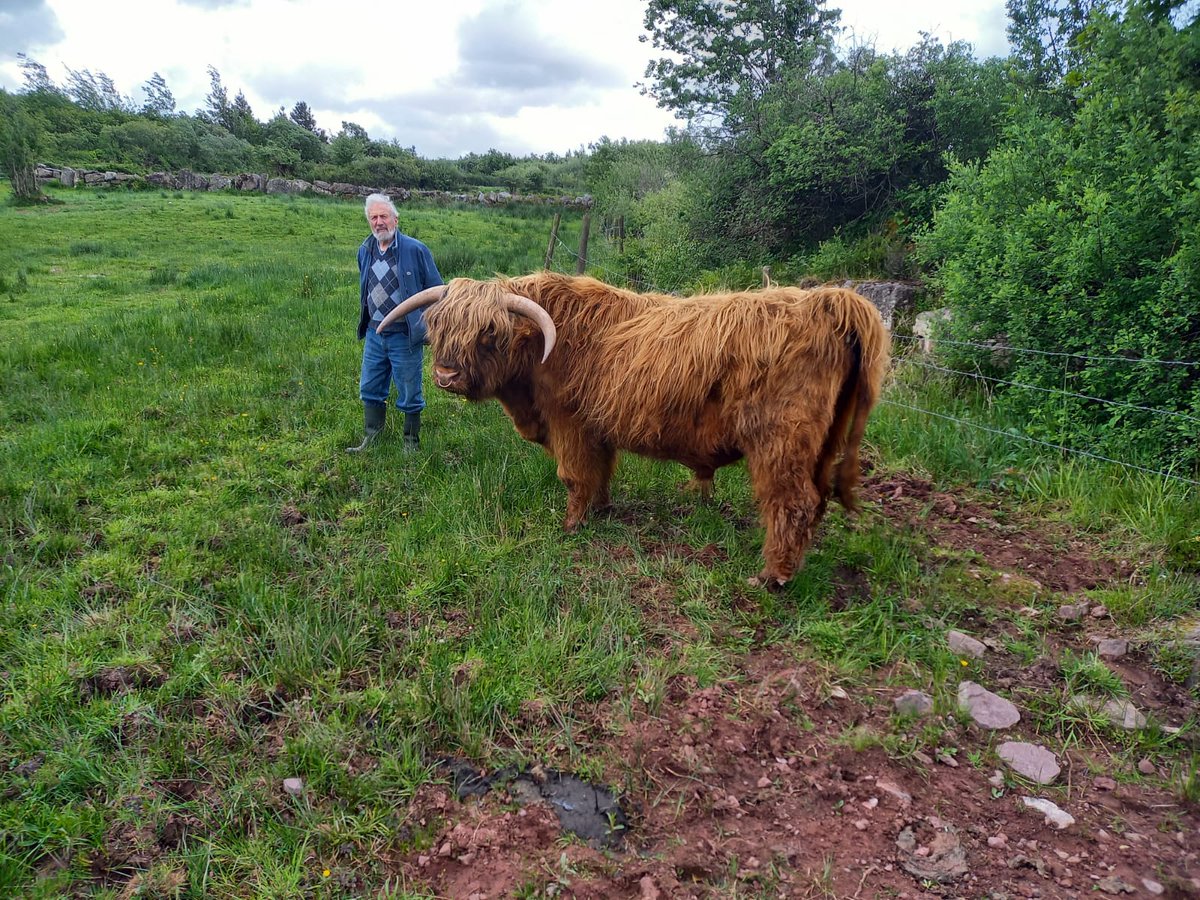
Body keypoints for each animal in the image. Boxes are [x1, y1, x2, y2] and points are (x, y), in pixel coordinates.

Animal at [381, 271, 892, 588]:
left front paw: (571, 526)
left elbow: (574, 476)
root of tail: (829, 301)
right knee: (815, 500)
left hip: (780, 440)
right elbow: (600, 473)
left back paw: (773, 576)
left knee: (791, 502)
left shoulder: (569, 424)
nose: (445, 375)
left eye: (488, 333)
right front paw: (602, 510)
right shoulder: (596, 429)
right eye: (439, 326)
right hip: (823, 443)